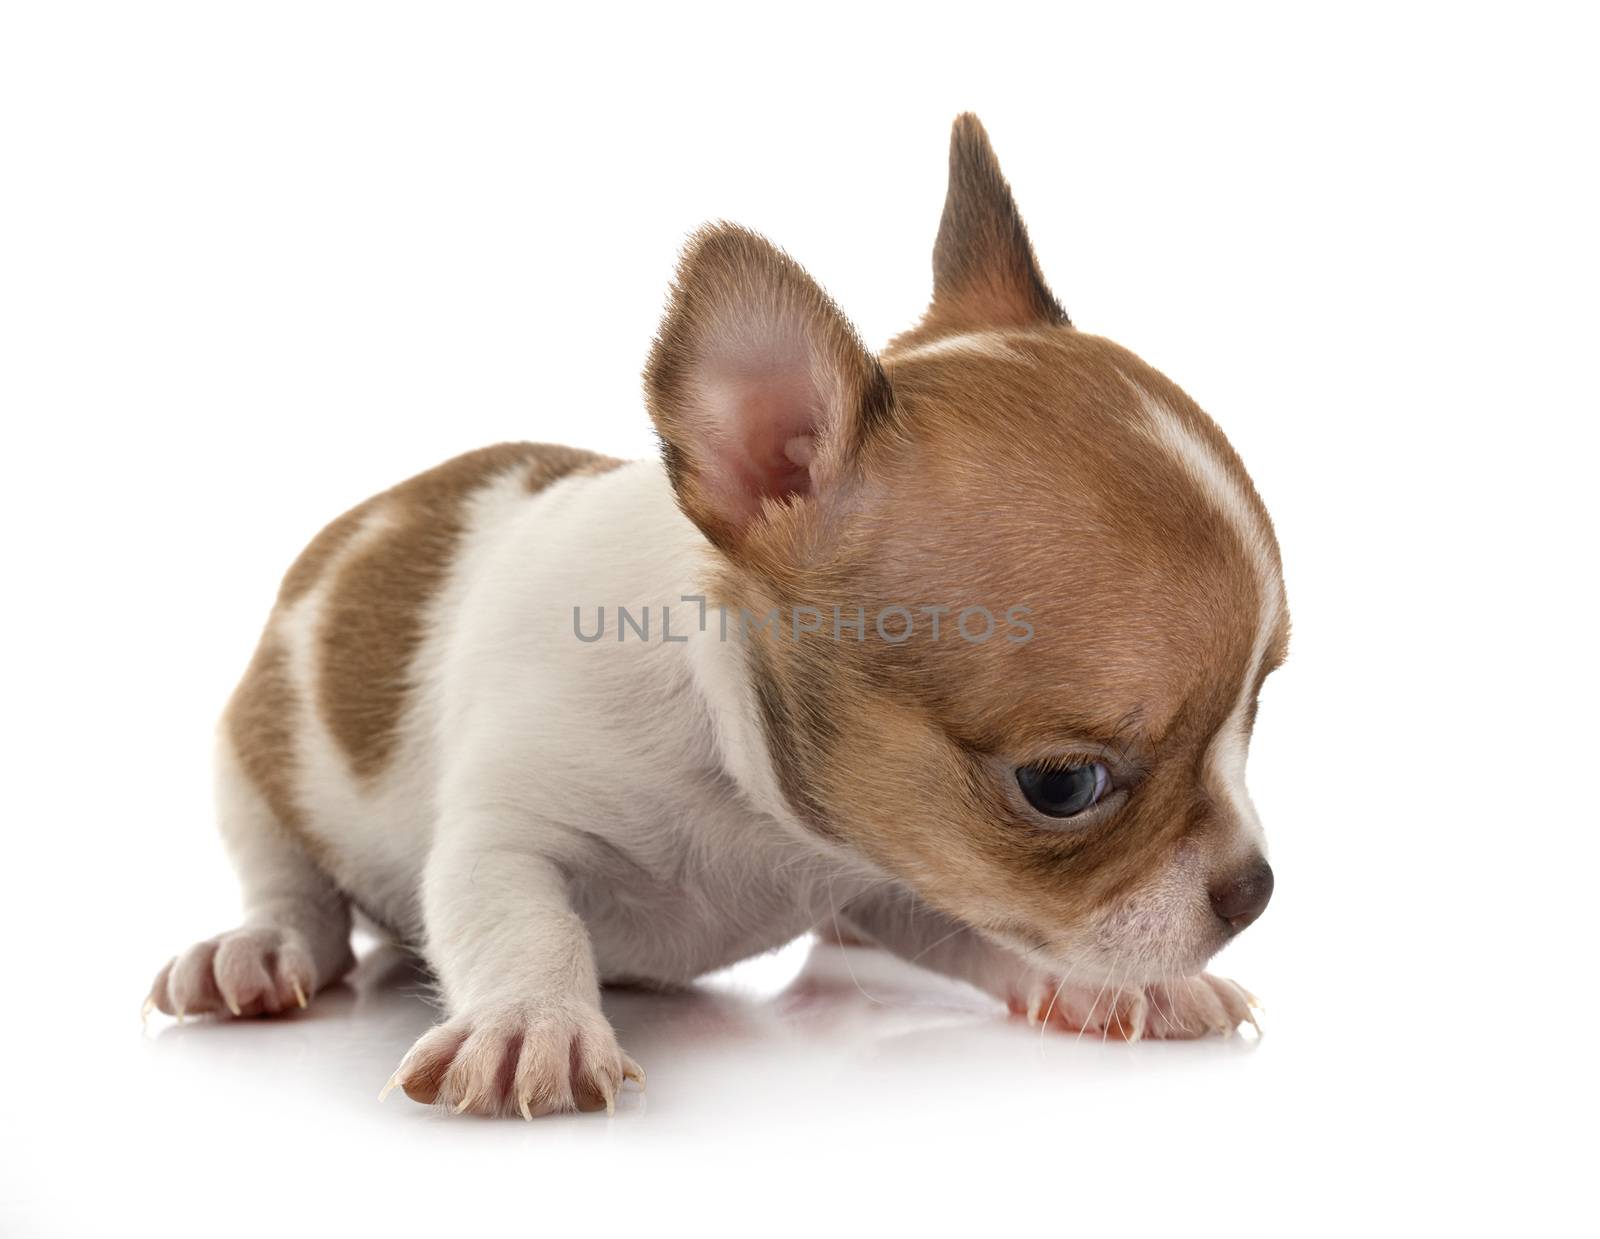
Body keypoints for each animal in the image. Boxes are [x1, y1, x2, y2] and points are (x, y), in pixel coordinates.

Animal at [147, 116, 1286, 1120]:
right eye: (1062, 785)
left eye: (1257, 709)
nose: (1255, 889)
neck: (745, 806)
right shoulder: (507, 833)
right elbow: (518, 920)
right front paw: (531, 1024)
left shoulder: (896, 871)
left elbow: (995, 928)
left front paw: (1125, 988)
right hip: (254, 758)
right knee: (289, 887)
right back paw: (252, 951)